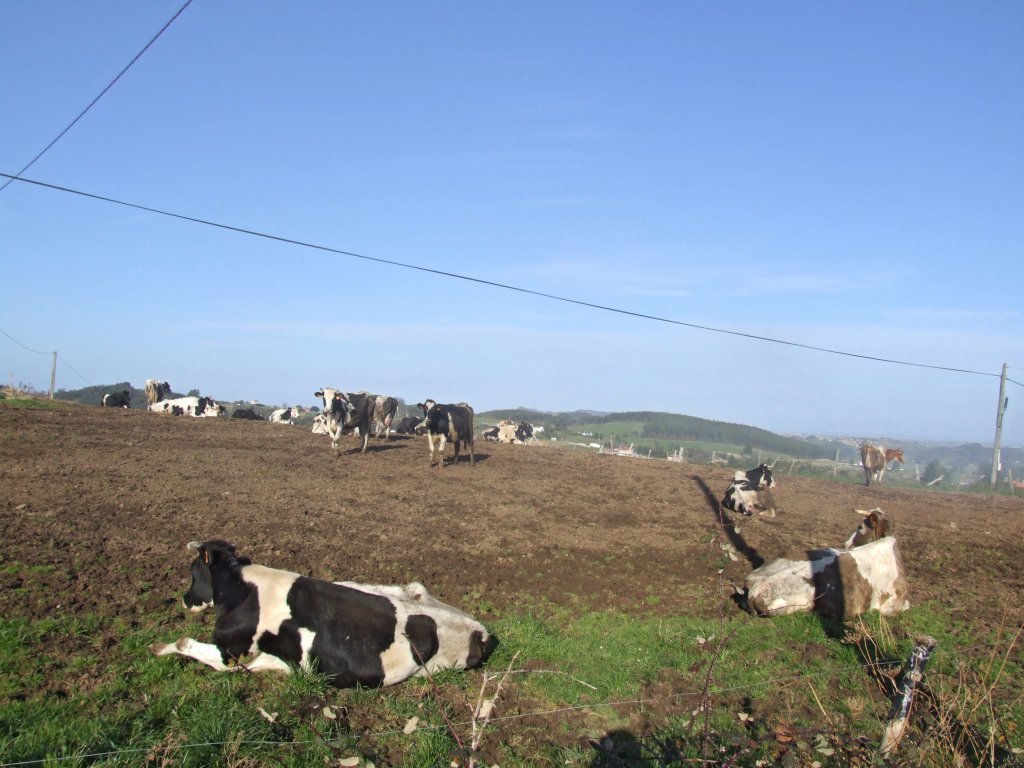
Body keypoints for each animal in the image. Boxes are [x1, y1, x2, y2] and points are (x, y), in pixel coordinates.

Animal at [151, 536, 499, 688]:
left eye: (192, 571)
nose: (184, 599)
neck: (245, 590)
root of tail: (482, 632)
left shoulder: (232, 655)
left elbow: (184, 642)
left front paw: (159, 648)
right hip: (384, 586)